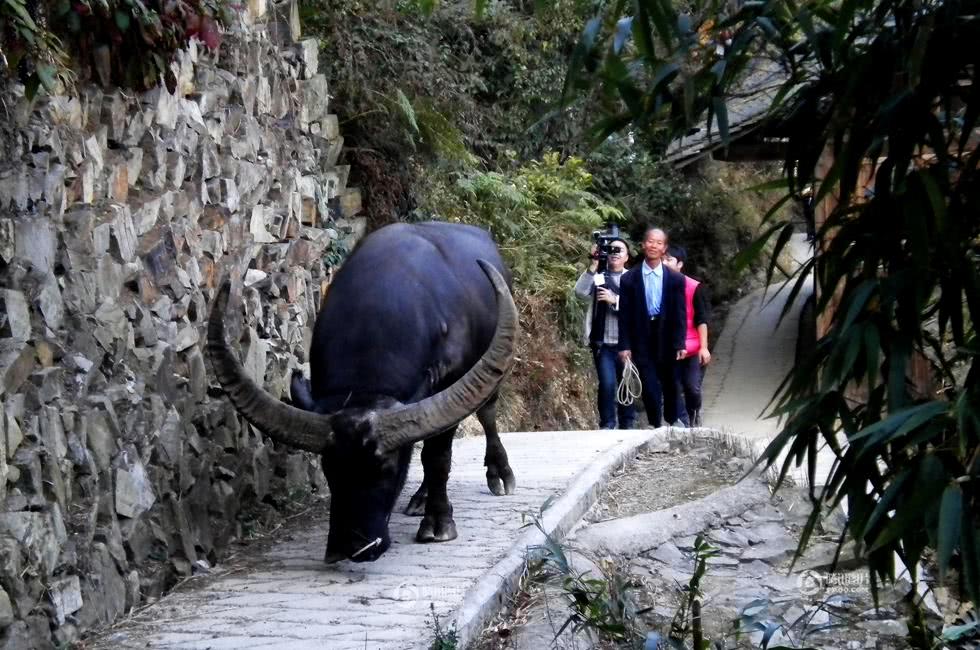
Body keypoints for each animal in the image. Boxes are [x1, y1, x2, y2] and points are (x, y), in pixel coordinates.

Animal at [208, 220, 520, 560]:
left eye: (385, 467)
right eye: (329, 467)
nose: (354, 546)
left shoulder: (453, 379)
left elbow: (437, 456)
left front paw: (438, 523)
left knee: (486, 413)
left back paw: (499, 473)